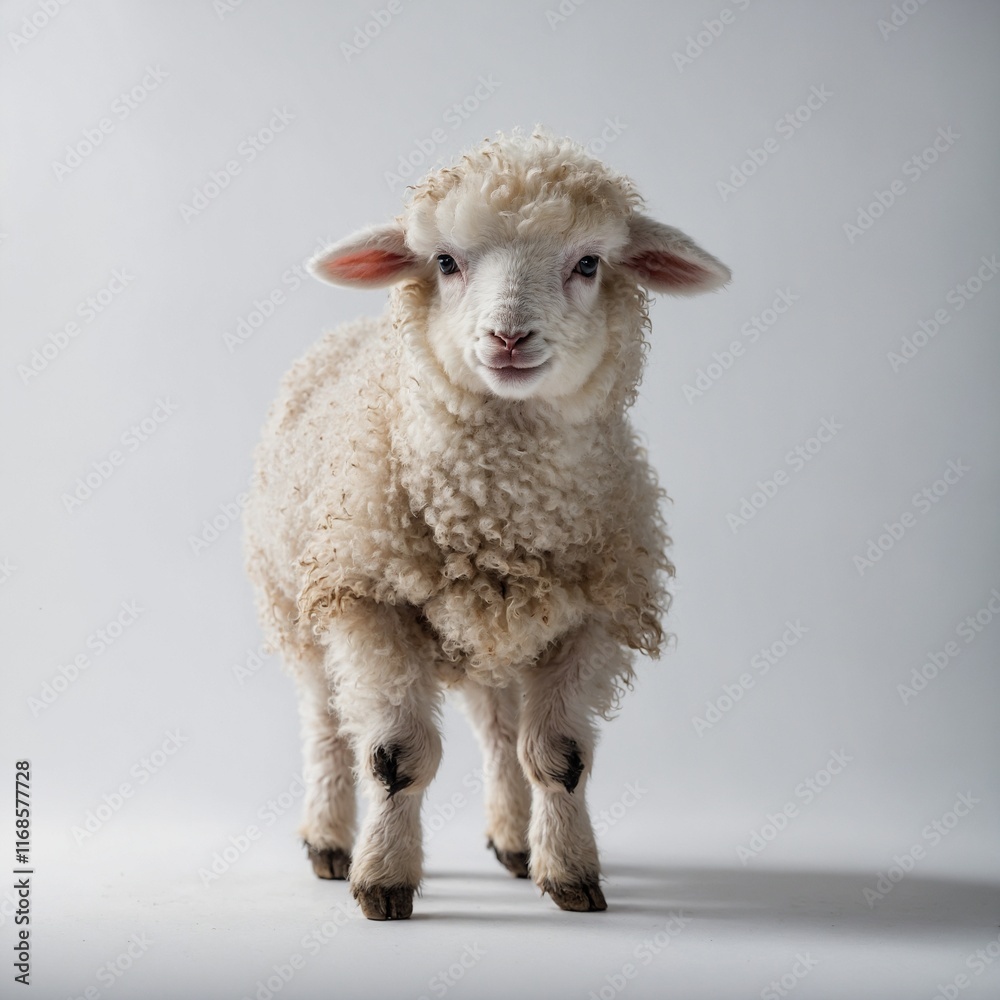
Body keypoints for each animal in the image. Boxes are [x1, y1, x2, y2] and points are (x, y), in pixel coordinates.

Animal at [244, 129, 730, 920]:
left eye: (588, 263)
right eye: (445, 261)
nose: (508, 337)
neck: (497, 516)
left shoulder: (592, 616)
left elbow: (559, 758)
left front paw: (568, 871)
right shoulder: (371, 603)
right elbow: (396, 756)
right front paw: (383, 878)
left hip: (493, 630)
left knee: (500, 732)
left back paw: (512, 841)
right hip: (298, 600)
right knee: (326, 724)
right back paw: (328, 839)